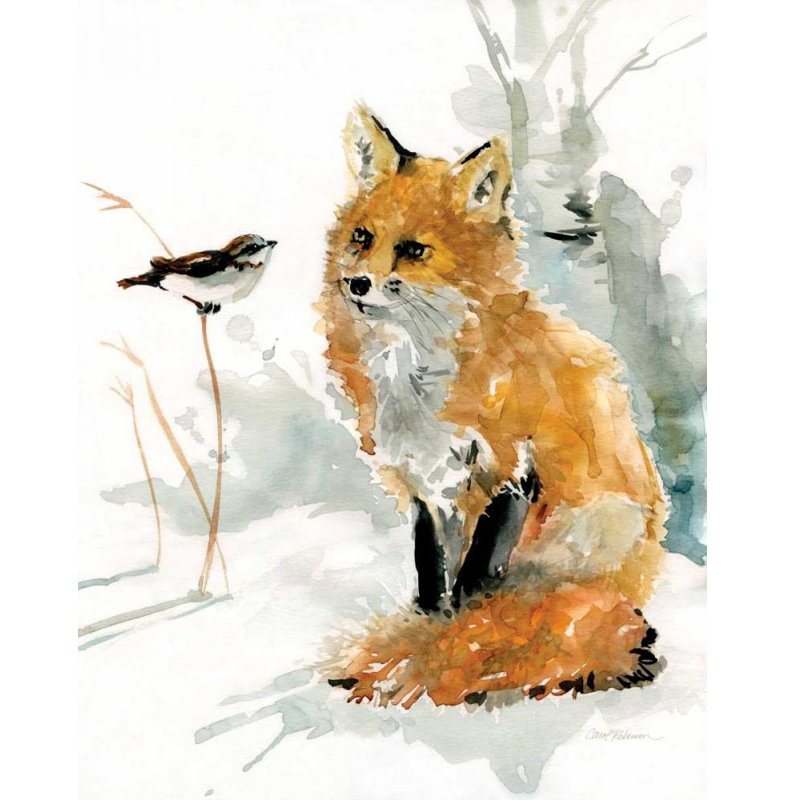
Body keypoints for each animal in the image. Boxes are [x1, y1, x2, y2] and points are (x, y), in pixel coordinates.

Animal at [317, 105, 667, 708]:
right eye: (362, 237)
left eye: (413, 250)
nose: (357, 283)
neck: (416, 374)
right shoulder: (427, 488)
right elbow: (434, 582)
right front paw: (432, 630)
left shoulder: (512, 472)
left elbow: (475, 585)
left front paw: (452, 645)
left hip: (595, 525)